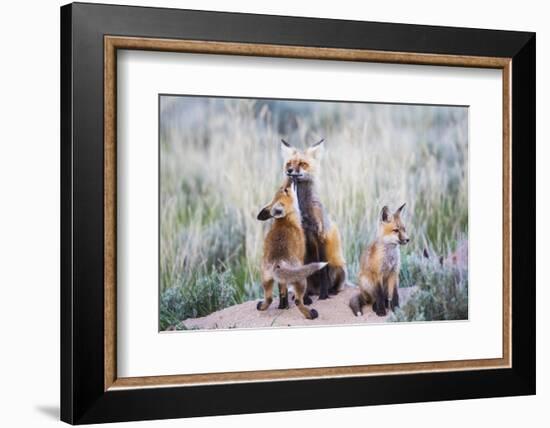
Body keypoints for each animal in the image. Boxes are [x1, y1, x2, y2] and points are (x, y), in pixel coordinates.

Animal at [256, 179, 326, 320]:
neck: (286, 220)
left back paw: (262, 306)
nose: (291, 177)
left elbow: (282, 292)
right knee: (299, 300)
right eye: (285, 189)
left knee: (269, 298)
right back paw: (310, 314)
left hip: (266, 279)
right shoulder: (302, 256)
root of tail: (277, 261)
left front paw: (283, 307)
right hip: (300, 279)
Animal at [282, 139, 348, 300]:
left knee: (337, 285)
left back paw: (331, 291)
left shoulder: (320, 235)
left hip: (338, 268)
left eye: (302, 164)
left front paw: (324, 296)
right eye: (289, 164)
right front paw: (305, 299)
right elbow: (303, 274)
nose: (290, 171)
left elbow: (322, 270)